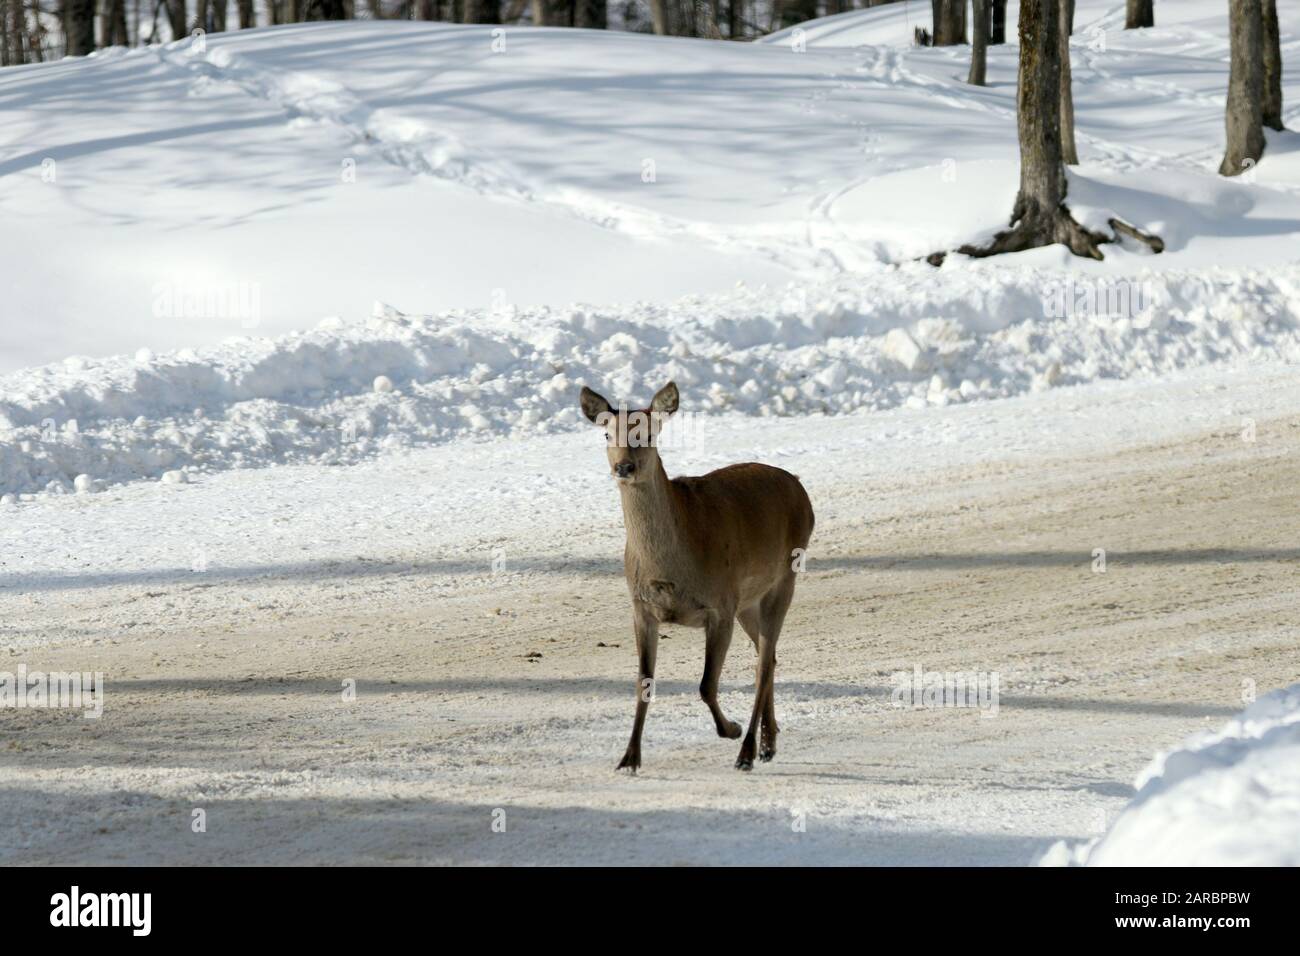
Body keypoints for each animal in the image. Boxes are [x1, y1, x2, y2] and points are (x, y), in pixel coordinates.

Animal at [579, 381, 815, 772]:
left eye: (648, 433)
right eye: (607, 433)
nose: (623, 466)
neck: (670, 568)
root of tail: (800, 489)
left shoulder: (720, 606)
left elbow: (706, 684)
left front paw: (732, 729)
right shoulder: (641, 608)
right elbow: (643, 681)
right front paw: (629, 757)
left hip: (783, 579)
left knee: (763, 663)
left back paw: (747, 751)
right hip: (747, 601)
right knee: (769, 657)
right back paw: (769, 743)